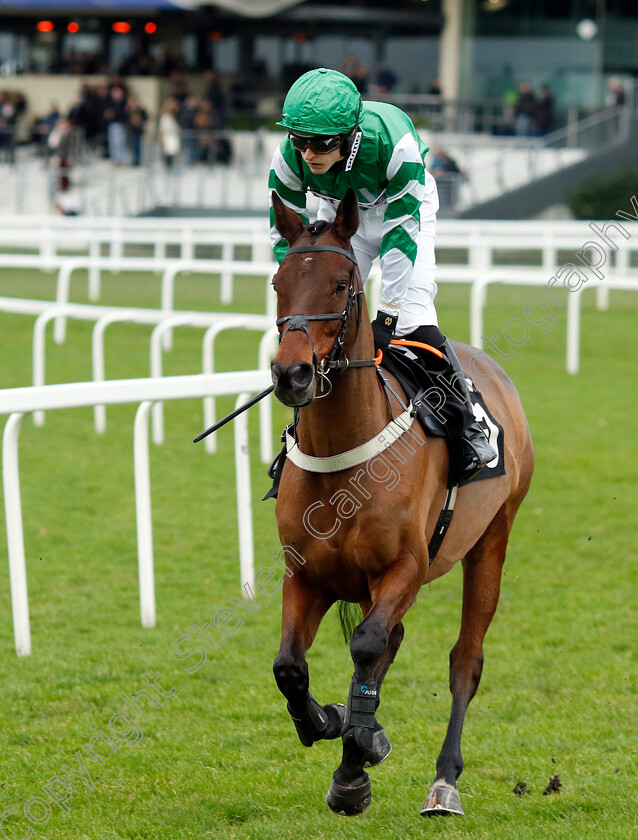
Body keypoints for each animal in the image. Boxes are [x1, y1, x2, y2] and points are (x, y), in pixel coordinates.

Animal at [268, 189, 536, 812]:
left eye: (341, 285)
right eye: (278, 282)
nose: (291, 373)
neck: (345, 457)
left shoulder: (405, 566)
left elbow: (368, 645)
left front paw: (360, 744)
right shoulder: (306, 573)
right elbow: (290, 666)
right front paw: (332, 725)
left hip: (493, 537)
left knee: (465, 659)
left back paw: (444, 781)